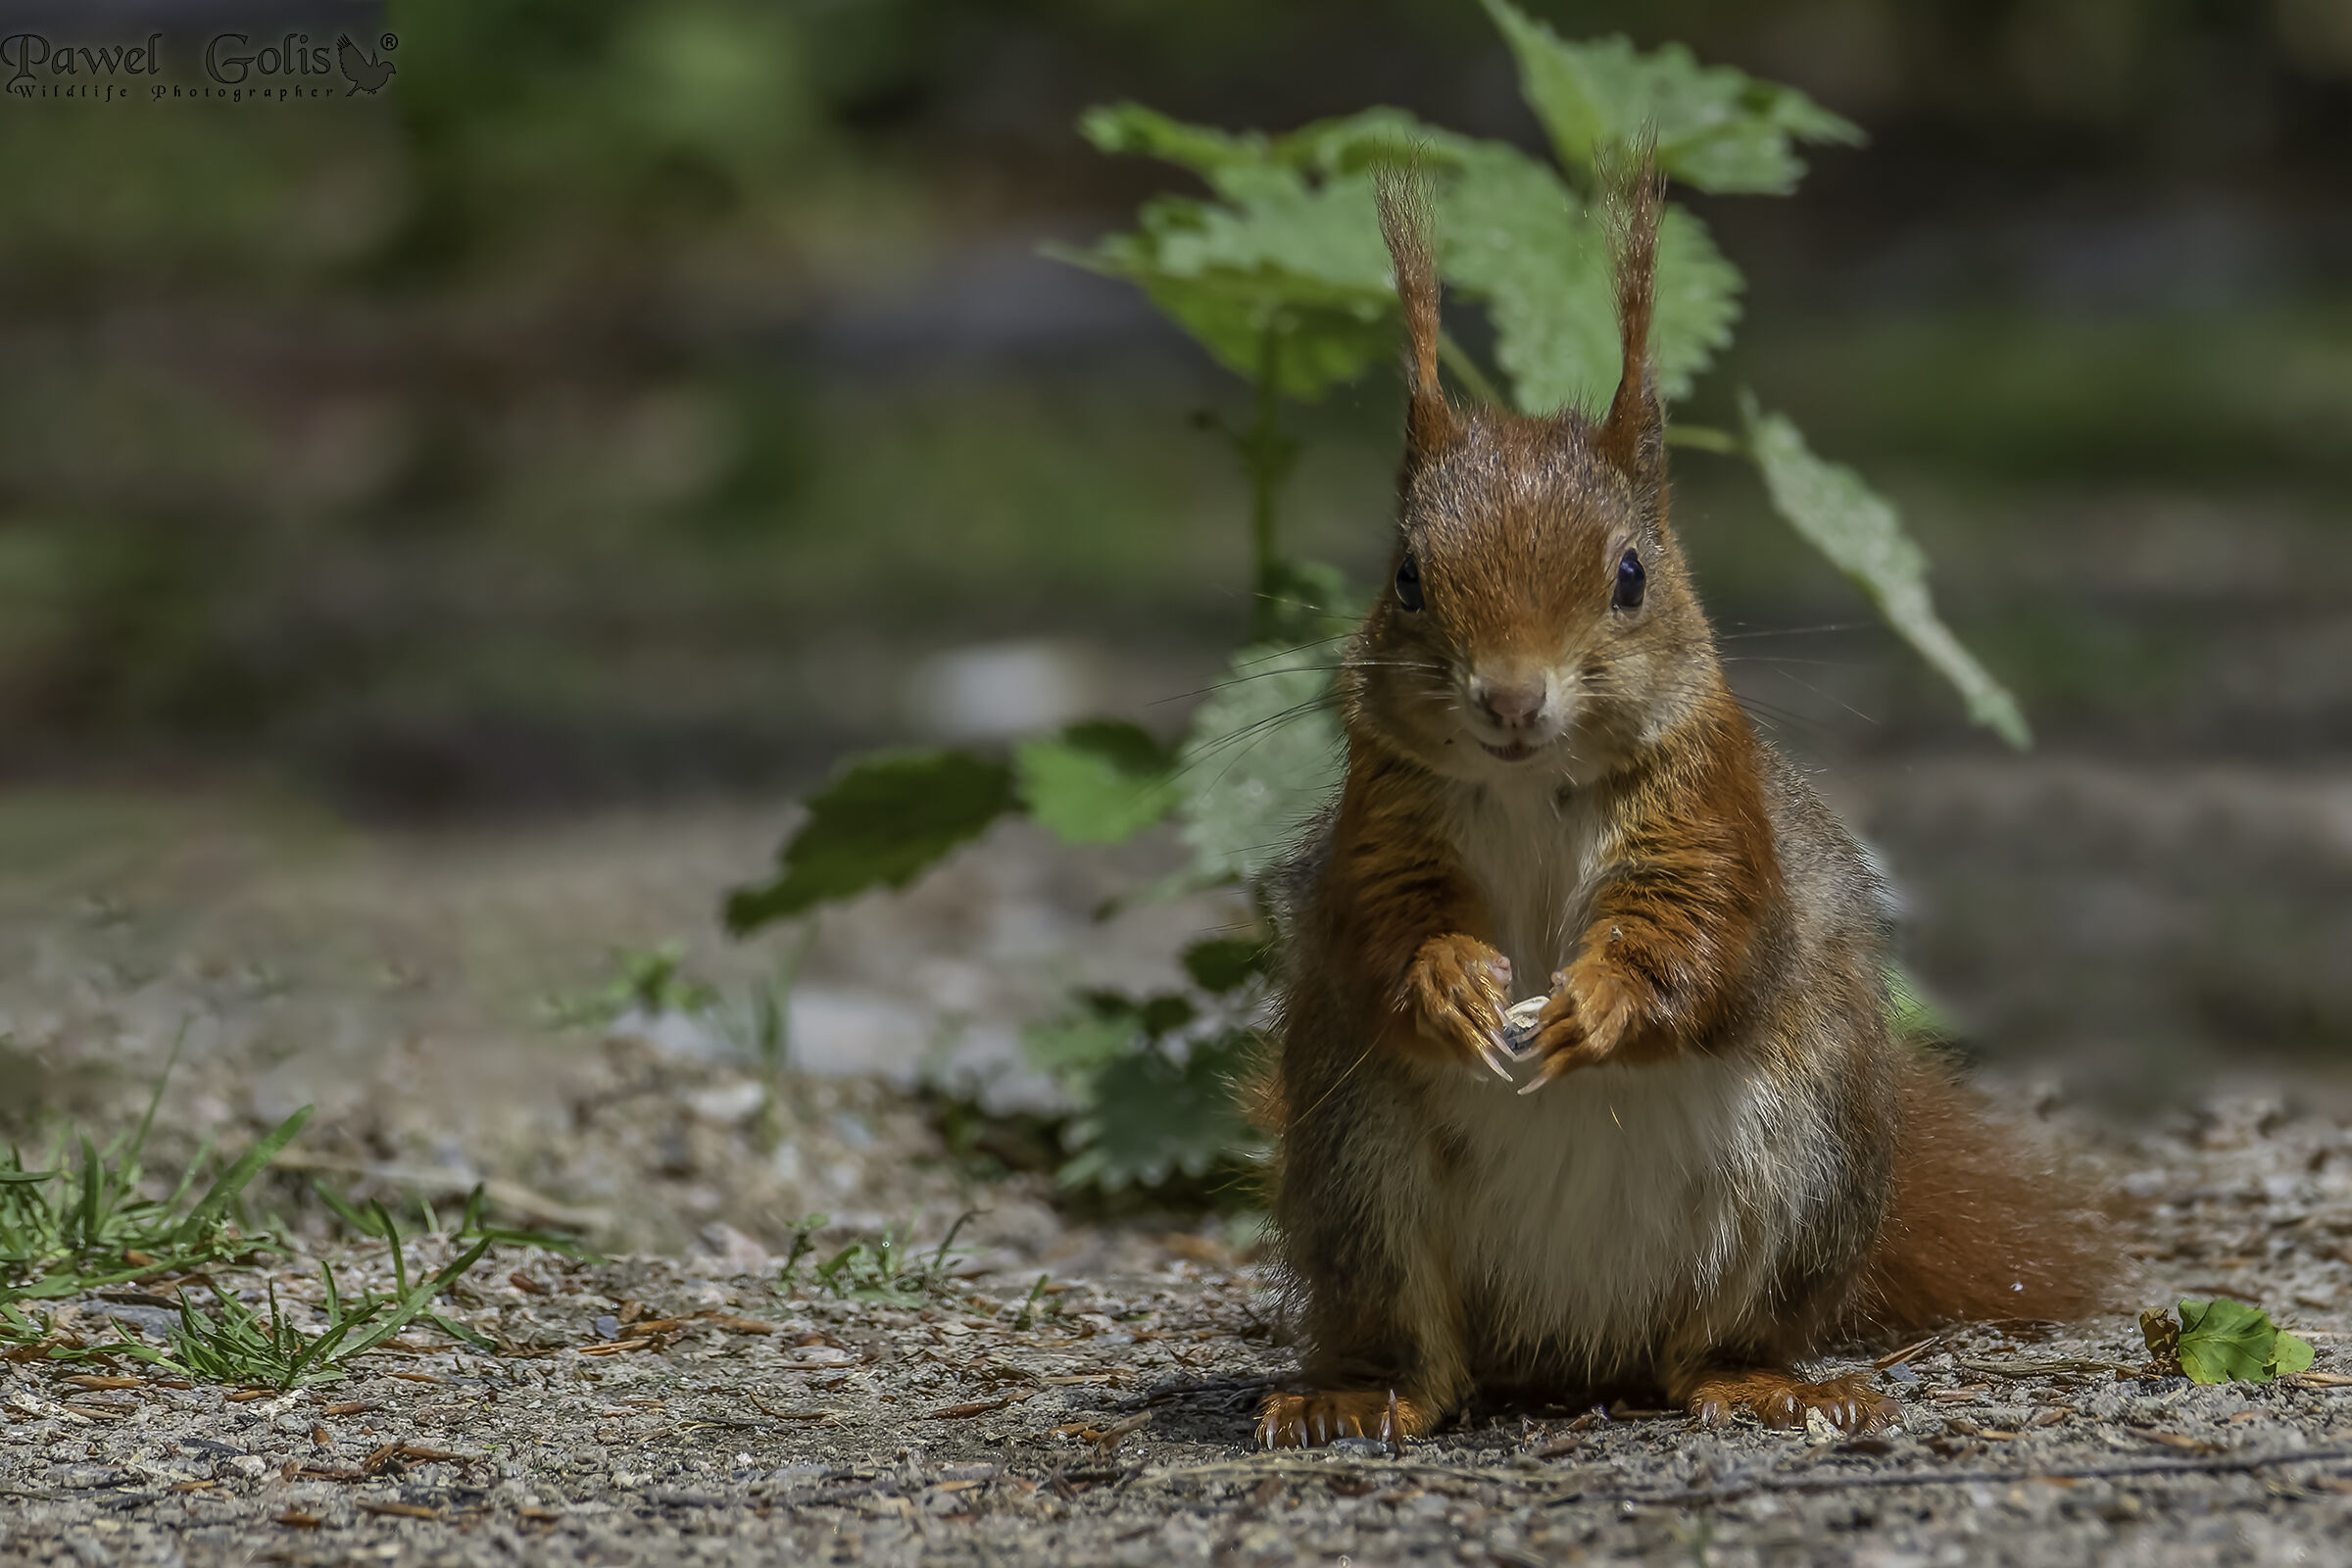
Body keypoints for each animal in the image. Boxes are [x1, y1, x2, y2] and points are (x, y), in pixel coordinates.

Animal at [1250, 156, 2114, 1447]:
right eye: (1405, 577)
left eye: (1630, 576)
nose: (1511, 698)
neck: (1531, 788)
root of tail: (1568, 1345)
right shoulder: (1381, 821)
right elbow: (1379, 928)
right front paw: (1449, 981)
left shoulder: (1712, 811)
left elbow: (1705, 938)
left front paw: (1599, 1005)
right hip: (1359, 1170)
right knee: (1424, 1351)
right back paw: (1361, 1395)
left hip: (1806, 1169)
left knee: (1705, 1346)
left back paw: (1768, 1383)